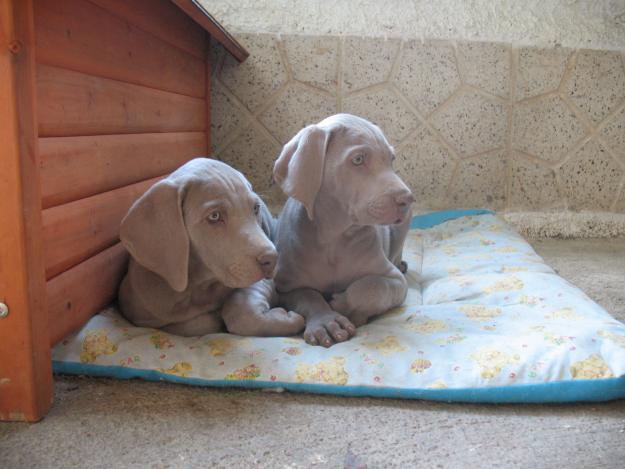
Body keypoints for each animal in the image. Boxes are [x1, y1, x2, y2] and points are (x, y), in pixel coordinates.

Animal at [117, 157, 304, 336]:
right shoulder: (139, 316)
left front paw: (292, 319)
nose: (272, 259)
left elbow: (243, 314)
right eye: (214, 216)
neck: (198, 288)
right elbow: (197, 324)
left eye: (256, 208)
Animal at [274, 114, 414, 348]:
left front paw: (343, 302)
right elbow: (308, 297)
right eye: (358, 159)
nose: (407, 199)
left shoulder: (395, 281)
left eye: (391, 159)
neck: (335, 237)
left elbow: (371, 287)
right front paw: (326, 322)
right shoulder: (285, 288)